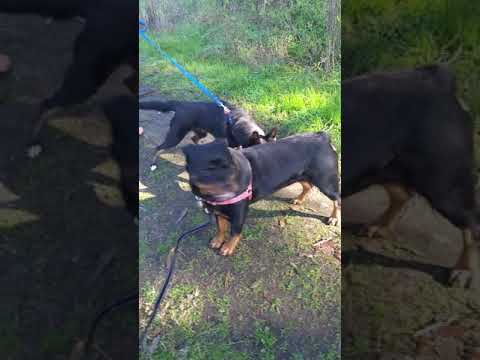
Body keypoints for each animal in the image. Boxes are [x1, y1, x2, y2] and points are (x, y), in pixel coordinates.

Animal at [182, 133, 340, 256]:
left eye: (231, 166)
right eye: (206, 170)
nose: (239, 187)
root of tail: (323, 137)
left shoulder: (239, 213)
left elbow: (235, 231)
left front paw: (228, 247)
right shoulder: (217, 211)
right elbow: (221, 227)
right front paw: (218, 240)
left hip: (326, 182)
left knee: (337, 199)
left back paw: (333, 218)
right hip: (301, 175)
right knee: (308, 186)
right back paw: (298, 199)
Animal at [344, 64, 478, 290]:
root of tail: (437, 79)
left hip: (445, 186)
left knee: (472, 225)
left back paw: (464, 270)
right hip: (389, 170)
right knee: (402, 195)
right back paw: (380, 226)